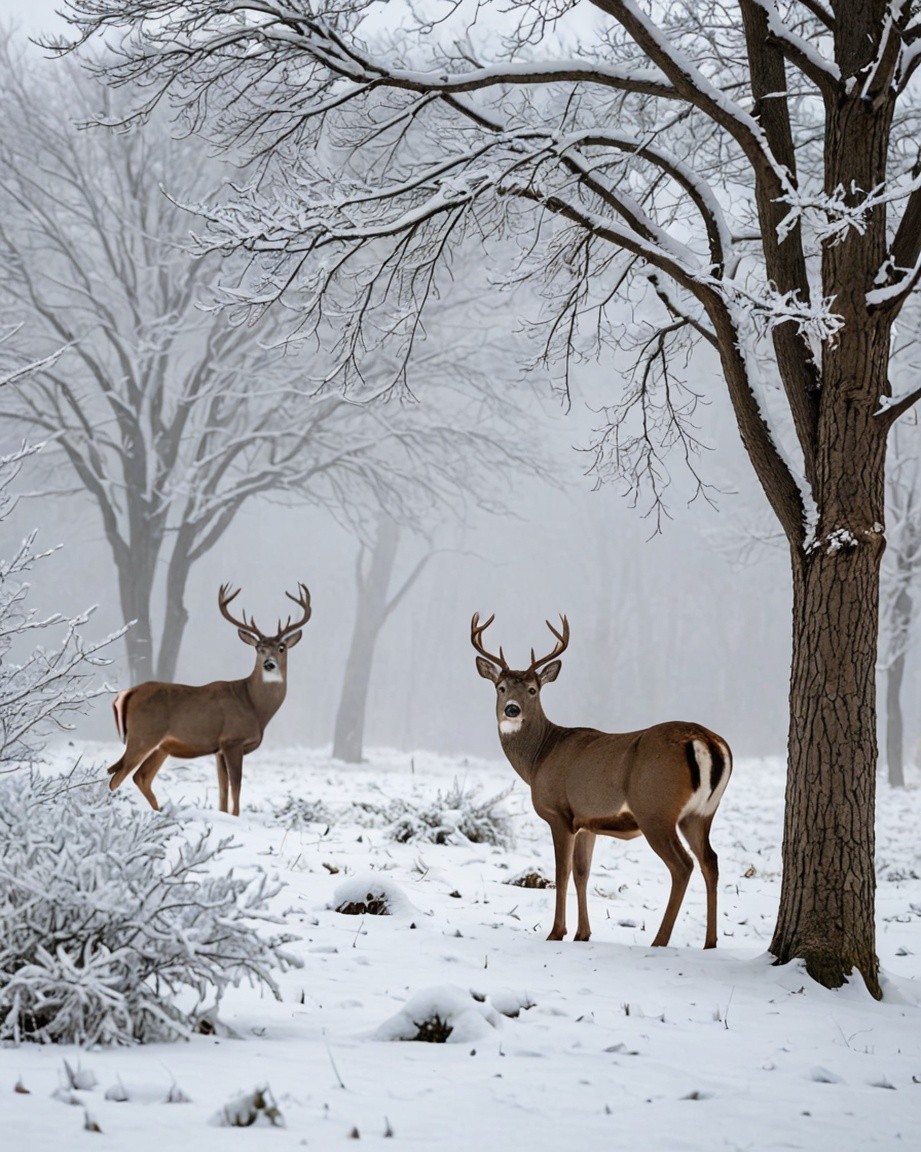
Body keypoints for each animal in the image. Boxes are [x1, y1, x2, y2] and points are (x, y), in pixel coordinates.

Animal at [107, 583, 312, 816]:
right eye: (259, 649)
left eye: (281, 648)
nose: (269, 664)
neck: (254, 707)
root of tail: (128, 693)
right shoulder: (233, 740)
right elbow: (236, 786)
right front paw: (236, 816)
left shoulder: (219, 749)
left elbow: (223, 789)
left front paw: (223, 815)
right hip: (143, 734)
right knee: (117, 777)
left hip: (161, 746)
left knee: (139, 777)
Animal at [472, 612, 732, 949]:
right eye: (501, 687)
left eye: (532, 689)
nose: (511, 710)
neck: (539, 758)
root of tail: (705, 741)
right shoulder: (587, 821)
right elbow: (583, 873)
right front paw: (583, 933)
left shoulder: (559, 813)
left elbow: (562, 871)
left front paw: (556, 932)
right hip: (700, 813)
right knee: (710, 861)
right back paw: (710, 942)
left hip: (655, 809)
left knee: (682, 865)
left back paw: (659, 940)